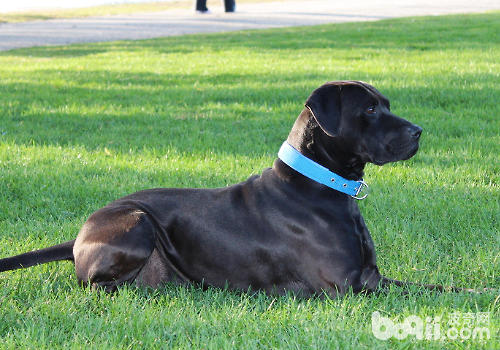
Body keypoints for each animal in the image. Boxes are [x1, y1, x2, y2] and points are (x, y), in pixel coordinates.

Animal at [0, 80, 476, 296]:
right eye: (372, 109)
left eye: (387, 104)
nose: (418, 132)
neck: (321, 187)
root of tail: (78, 235)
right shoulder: (348, 286)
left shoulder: (371, 275)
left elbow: (440, 287)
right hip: (137, 221)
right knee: (96, 285)